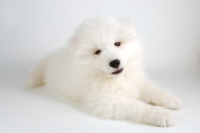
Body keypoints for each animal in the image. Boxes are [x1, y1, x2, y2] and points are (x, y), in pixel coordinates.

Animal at [25, 16, 182, 127]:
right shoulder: (107, 101)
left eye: (117, 43)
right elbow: (138, 106)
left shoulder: (136, 81)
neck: (117, 79)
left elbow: (152, 89)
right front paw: (161, 115)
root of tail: (50, 57)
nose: (115, 62)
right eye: (97, 52)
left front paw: (171, 100)